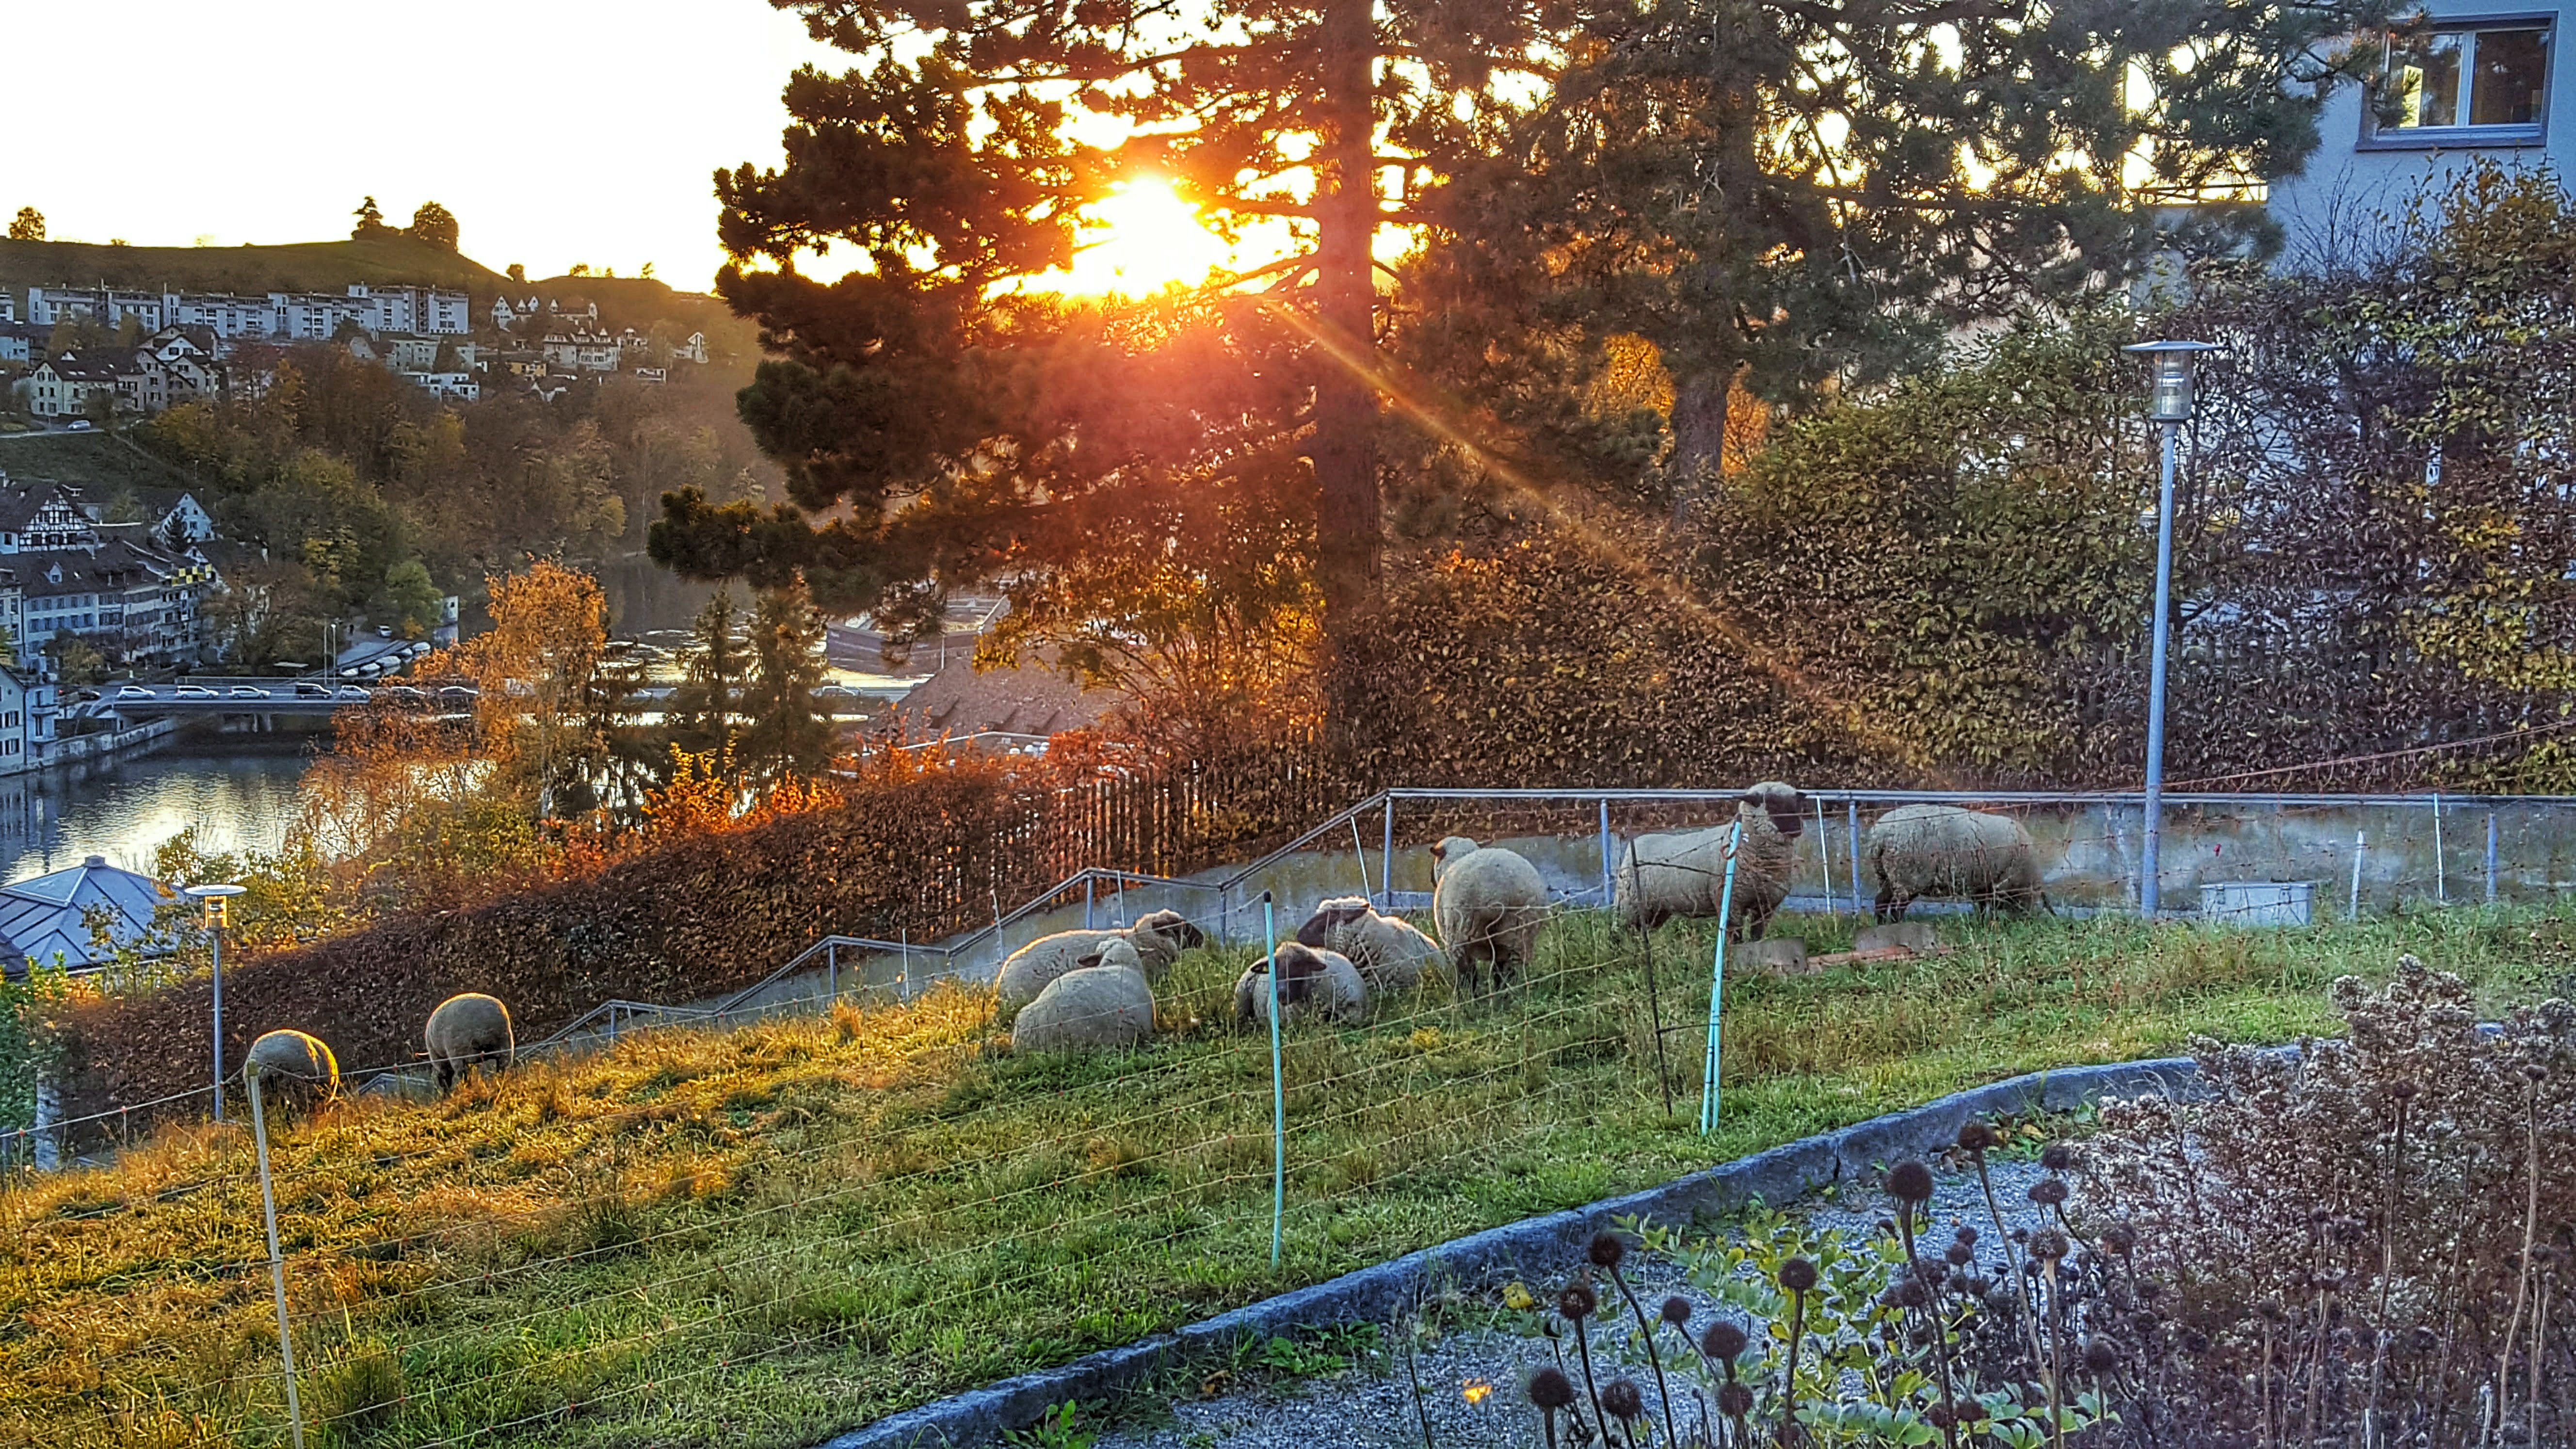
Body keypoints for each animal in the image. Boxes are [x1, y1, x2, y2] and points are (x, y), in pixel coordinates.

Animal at [425, 993, 515, 1093]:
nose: (446, 1094)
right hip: (505, 1045)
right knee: (503, 1068)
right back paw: (501, 1085)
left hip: (458, 1052)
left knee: (463, 1076)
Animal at [1430, 836, 1549, 992]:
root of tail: (1498, 895)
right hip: (1518, 933)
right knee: (1509, 972)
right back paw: (1505, 994)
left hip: (1461, 932)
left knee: (1466, 975)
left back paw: (1466, 996)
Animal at [1613, 781, 1806, 943]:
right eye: (1772, 804)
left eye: (1796, 803)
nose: (1798, 828)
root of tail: (1634, 844)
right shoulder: (1730, 903)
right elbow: (1736, 936)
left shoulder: (1766, 906)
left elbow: (1757, 936)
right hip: (1630, 906)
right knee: (1623, 932)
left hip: (1658, 909)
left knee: (1642, 931)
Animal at [1867, 803, 2044, 922]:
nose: (2027, 920)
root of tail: (1880, 835)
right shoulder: (1996, 882)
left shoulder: (1982, 883)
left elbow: (1982, 907)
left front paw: (1982, 924)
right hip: (1907, 877)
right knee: (1897, 909)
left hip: (1885, 875)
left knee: (1881, 902)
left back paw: (1881, 926)